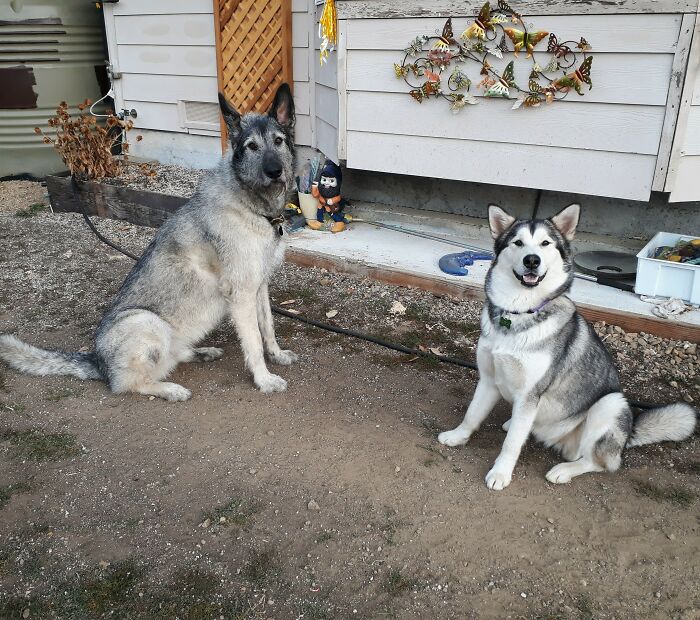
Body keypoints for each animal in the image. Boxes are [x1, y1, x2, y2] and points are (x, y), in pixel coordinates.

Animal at [0, 84, 299, 401]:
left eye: (278, 141)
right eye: (251, 146)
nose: (275, 171)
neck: (254, 207)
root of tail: (97, 362)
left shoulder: (259, 287)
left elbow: (268, 327)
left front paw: (277, 355)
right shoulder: (241, 294)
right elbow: (253, 342)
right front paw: (264, 379)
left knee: (172, 357)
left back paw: (201, 353)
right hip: (145, 321)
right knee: (129, 383)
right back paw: (170, 389)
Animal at [438, 203, 697, 489]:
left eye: (545, 243)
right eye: (518, 243)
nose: (532, 260)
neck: (518, 313)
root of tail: (628, 436)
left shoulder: (530, 395)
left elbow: (512, 443)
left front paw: (501, 473)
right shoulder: (488, 379)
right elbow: (472, 414)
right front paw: (458, 436)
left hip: (610, 404)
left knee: (598, 463)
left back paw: (564, 470)